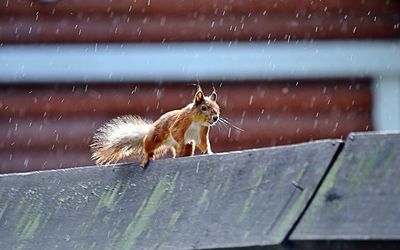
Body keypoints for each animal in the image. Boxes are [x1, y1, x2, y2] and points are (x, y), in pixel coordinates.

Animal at [90, 85, 220, 169]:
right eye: (204, 107)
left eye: (218, 108)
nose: (215, 118)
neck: (197, 122)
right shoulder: (181, 121)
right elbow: (175, 132)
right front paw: (182, 143)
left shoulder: (202, 132)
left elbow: (203, 144)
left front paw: (209, 152)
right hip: (154, 138)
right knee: (148, 148)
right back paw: (147, 157)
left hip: (188, 145)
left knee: (184, 150)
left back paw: (181, 155)